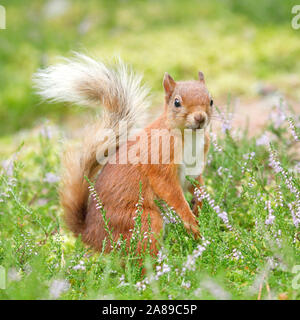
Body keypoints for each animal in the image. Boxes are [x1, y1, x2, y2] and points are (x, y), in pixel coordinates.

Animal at [34, 53, 212, 256]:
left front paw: (200, 205)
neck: (190, 137)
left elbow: (197, 185)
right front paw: (190, 221)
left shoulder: (196, 167)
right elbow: (170, 191)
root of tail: (90, 236)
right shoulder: (159, 164)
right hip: (143, 220)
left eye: (211, 100)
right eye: (177, 102)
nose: (200, 118)